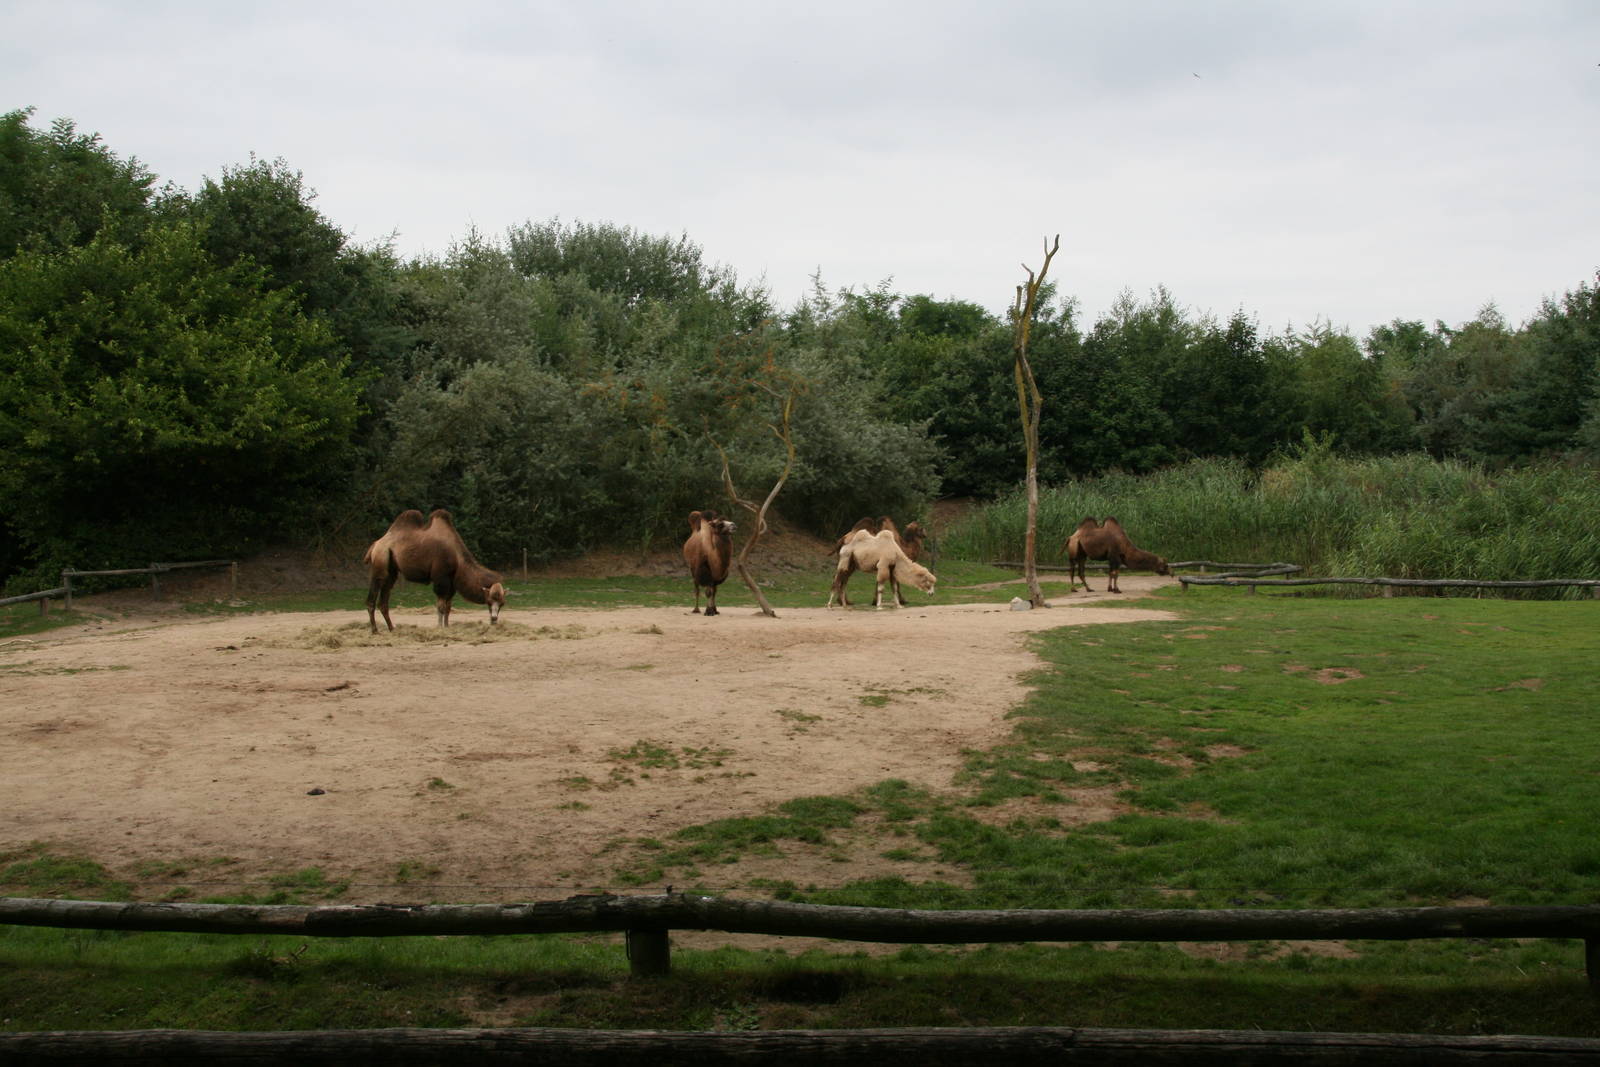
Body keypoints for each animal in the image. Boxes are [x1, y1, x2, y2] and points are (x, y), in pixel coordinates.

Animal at [363, 509, 507, 633]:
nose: (494, 619)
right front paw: (439, 627)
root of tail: (375, 545)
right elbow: (441, 606)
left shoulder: (451, 581)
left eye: (502, 603)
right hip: (380, 560)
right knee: (373, 596)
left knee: (384, 599)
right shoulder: (440, 578)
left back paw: (392, 628)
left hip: (392, 569)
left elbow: (448, 607)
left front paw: (447, 626)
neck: (456, 557)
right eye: (490, 601)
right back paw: (375, 630)